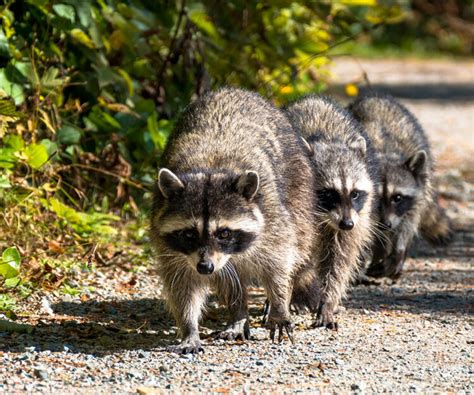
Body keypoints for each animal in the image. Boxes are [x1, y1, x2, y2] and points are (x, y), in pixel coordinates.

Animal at [150, 88, 316, 354]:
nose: (205, 267)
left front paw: (280, 304)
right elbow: (183, 285)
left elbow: (279, 261)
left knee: (297, 245)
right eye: (189, 234)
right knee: (230, 279)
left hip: (298, 189)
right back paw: (238, 314)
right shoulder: (168, 242)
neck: (209, 167)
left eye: (224, 233)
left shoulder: (272, 216)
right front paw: (189, 327)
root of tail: (232, 89)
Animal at [284, 96, 380, 332]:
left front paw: (327, 302)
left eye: (355, 194)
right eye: (328, 193)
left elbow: (339, 261)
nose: (346, 224)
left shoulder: (357, 218)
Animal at [350, 93, 454, 280]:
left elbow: (406, 224)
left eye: (397, 198)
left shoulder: (413, 197)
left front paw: (398, 252)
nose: (386, 224)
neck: (383, 154)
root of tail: (374, 97)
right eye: (376, 199)